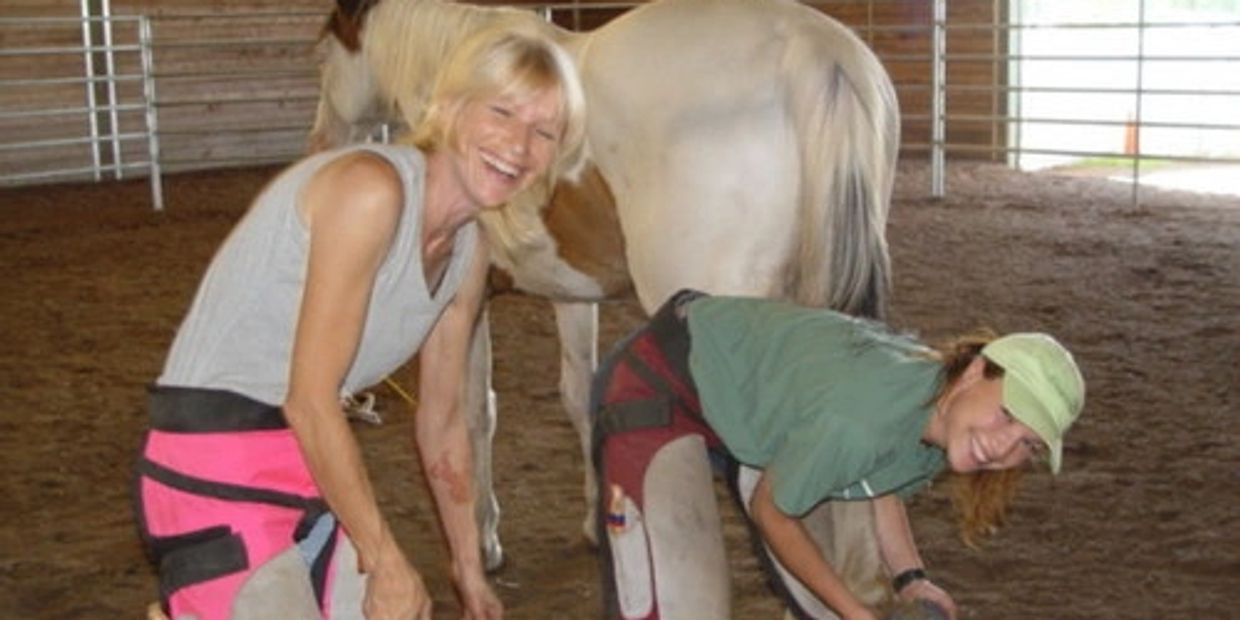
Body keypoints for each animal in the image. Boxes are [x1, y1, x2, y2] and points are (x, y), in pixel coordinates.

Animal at [314, 0, 902, 612]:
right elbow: (577, 396)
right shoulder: (571, 293)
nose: (320, 141)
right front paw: (592, 523)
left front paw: (483, 539)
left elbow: (475, 413)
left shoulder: (466, 304)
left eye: (326, 49)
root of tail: (813, 51)